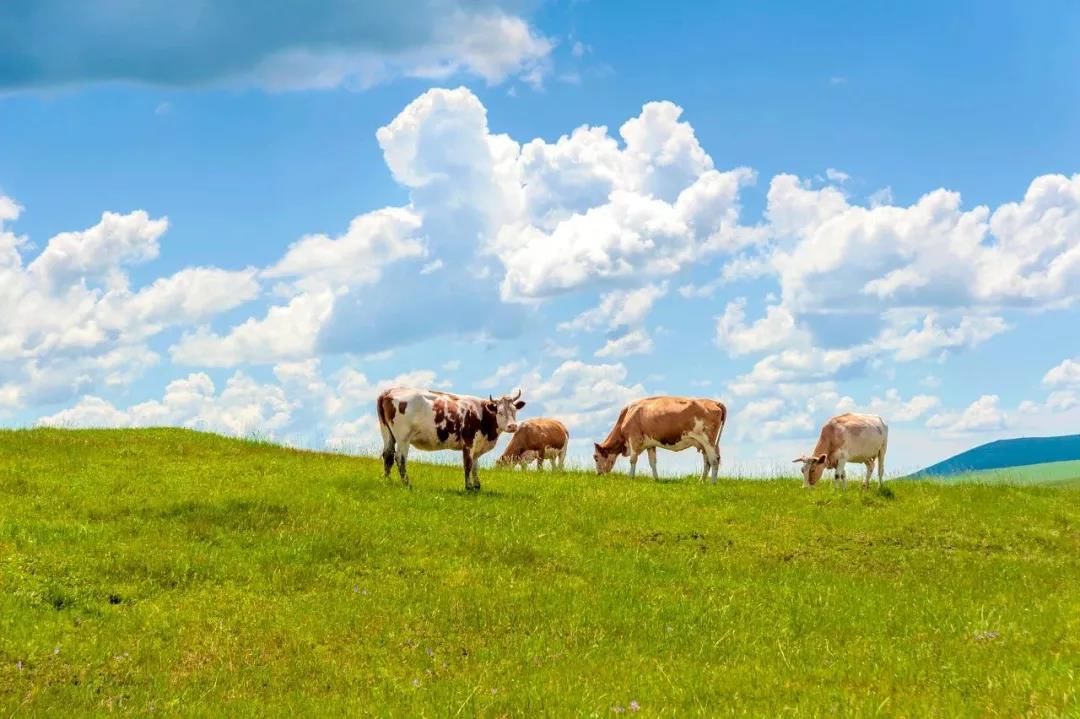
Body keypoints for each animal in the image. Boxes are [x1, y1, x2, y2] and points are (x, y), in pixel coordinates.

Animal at [373, 384, 524, 490]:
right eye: (500, 412)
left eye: (514, 410)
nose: (512, 426)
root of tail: (389, 391)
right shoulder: (468, 442)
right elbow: (468, 465)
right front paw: (468, 487)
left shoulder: (477, 445)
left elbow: (475, 466)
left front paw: (477, 486)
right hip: (403, 437)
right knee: (400, 458)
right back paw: (407, 484)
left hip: (387, 432)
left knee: (388, 455)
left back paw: (387, 481)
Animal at [596, 392, 730, 481]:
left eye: (595, 457)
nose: (598, 474)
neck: (627, 414)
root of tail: (715, 402)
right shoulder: (650, 444)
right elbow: (652, 462)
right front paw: (656, 479)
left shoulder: (634, 439)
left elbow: (633, 460)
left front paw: (630, 478)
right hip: (705, 444)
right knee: (707, 461)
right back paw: (701, 481)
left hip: (708, 441)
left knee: (714, 460)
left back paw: (712, 483)